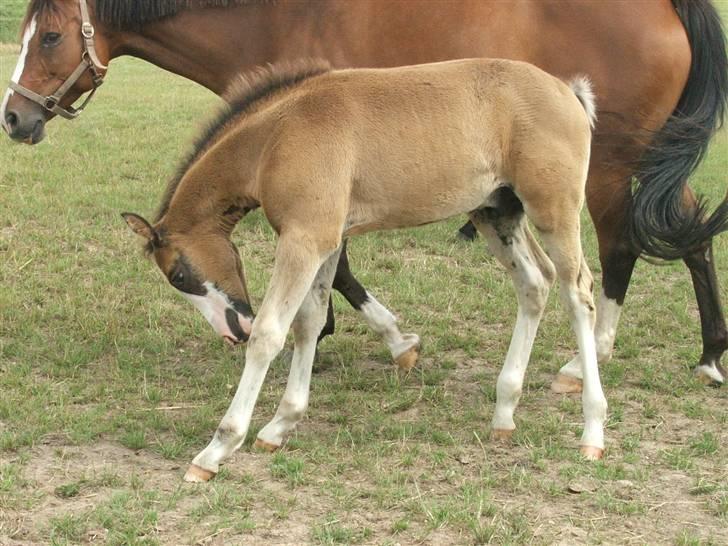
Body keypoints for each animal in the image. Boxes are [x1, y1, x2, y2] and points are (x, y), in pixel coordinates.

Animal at [1, 0, 728, 384]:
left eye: (52, 36)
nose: (14, 118)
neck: (276, 20)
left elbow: (341, 270)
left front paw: (359, 338)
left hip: (605, 169)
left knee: (619, 249)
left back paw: (592, 357)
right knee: (691, 233)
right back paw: (711, 355)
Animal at [123, 58, 604, 480]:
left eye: (178, 275)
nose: (230, 333)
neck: (275, 137)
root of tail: (568, 91)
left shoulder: (304, 238)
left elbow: (270, 334)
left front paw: (217, 449)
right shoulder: (327, 240)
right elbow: (309, 322)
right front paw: (280, 425)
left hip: (554, 210)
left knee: (578, 293)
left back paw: (592, 429)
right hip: (496, 213)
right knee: (535, 283)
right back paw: (505, 411)